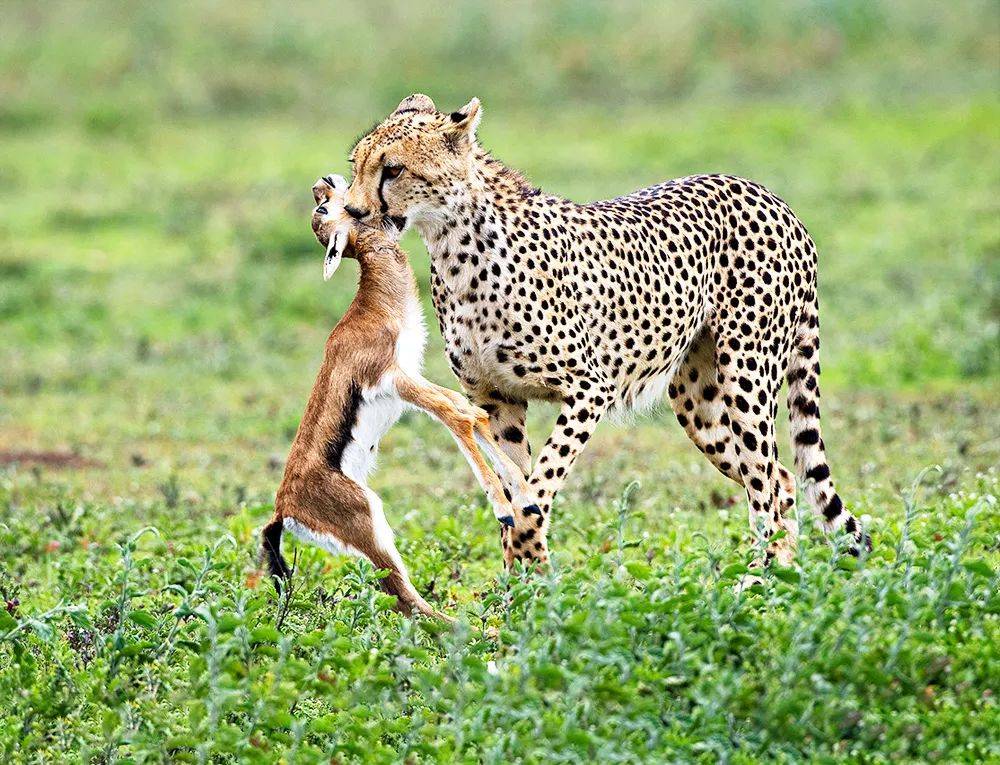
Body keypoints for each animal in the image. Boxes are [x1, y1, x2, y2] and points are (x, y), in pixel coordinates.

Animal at [340, 92, 872, 568]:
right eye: (356, 165)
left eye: (393, 170)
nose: (353, 213)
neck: (456, 246)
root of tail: (770, 196)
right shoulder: (495, 398)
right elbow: (512, 482)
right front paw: (521, 592)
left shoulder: (589, 389)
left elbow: (538, 486)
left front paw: (532, 564)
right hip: (699, 402)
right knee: (782, 477)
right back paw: (783, 576)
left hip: (747, 377)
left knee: (766, 482)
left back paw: (761, 585)